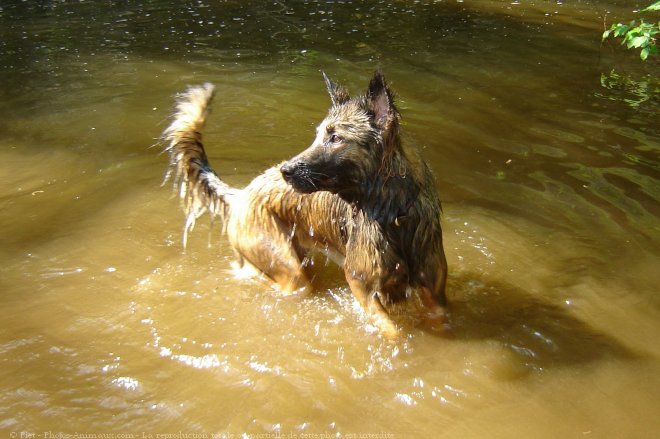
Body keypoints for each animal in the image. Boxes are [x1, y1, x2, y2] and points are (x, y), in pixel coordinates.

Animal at [160, 73, 448, 340]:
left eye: (335, 138)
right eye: (319, 136)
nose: (286, 171)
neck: (395, 217)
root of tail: (241, 194)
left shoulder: (434, 291)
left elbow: (439, 319)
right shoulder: (361, 285)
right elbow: (393, 332)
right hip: (288, 270)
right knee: (265, 278)